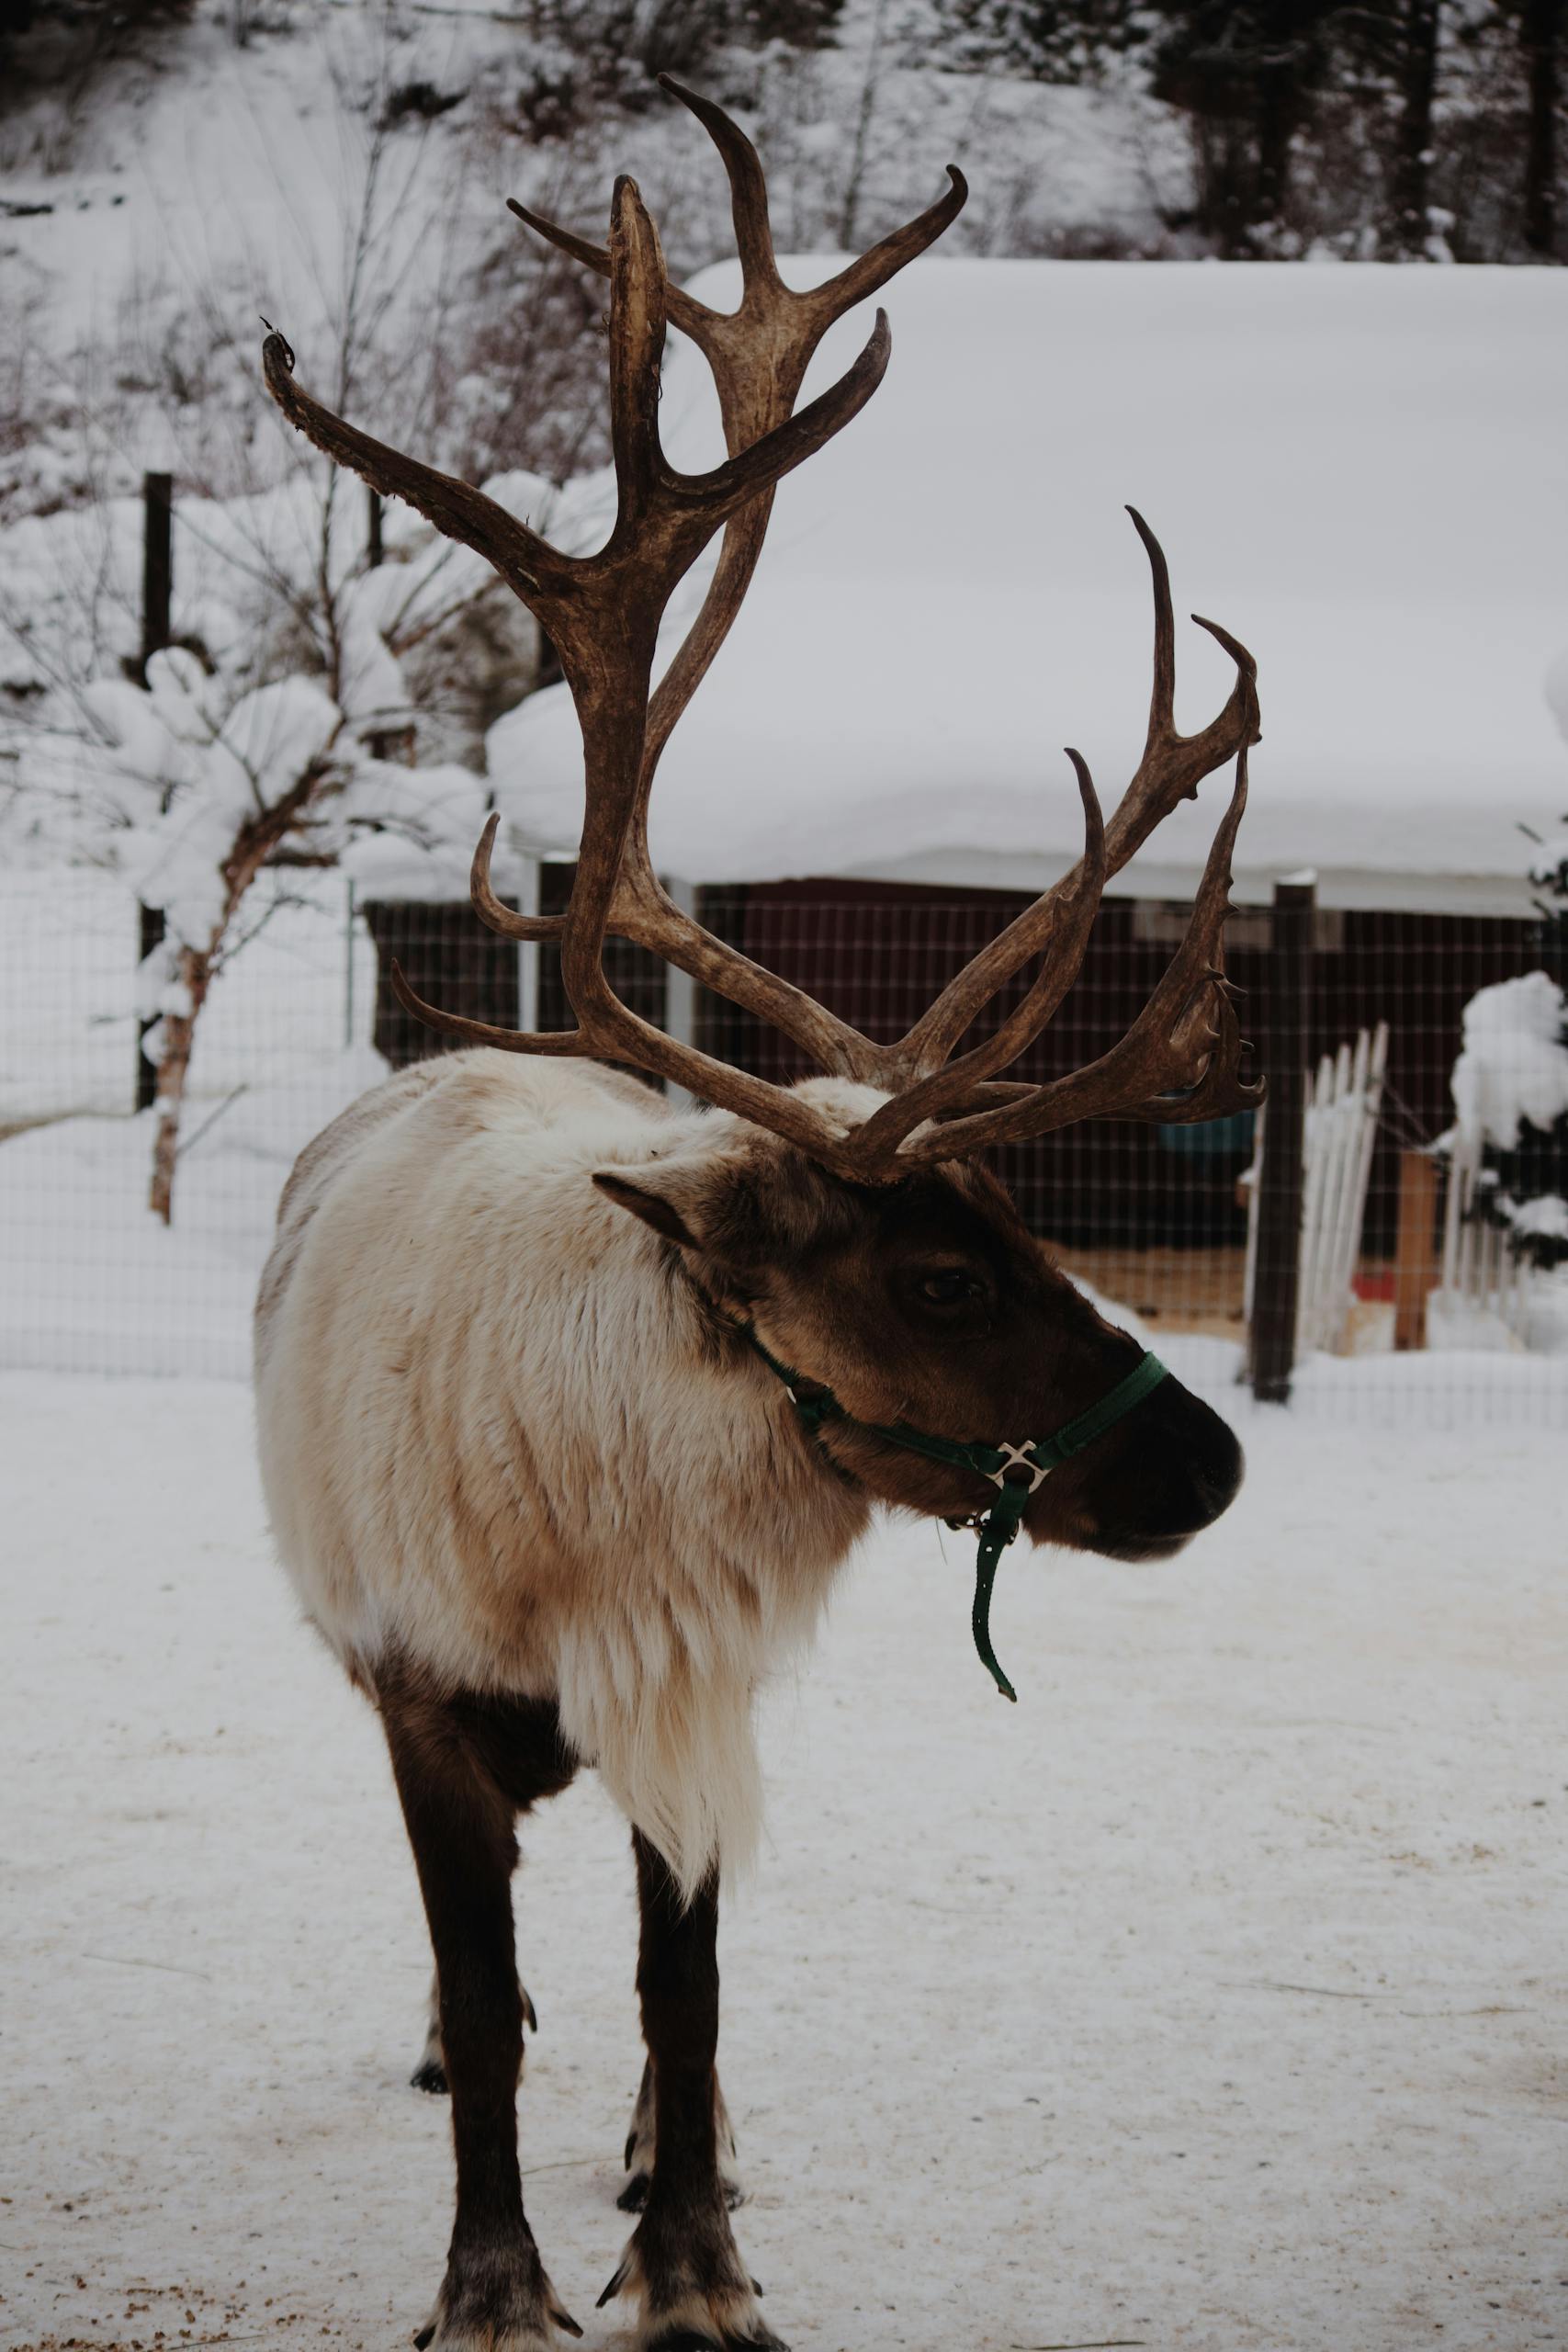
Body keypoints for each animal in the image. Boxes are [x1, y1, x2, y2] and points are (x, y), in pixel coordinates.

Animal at [253, 78, 1261, 2352]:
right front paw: (493, 2278)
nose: (1211, 1458)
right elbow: (485, 1987)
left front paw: (695, 2260)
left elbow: (687, 1986)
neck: (587, 1507)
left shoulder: (687, 1679)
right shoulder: (424, 1697)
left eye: (1023, 1219)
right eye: (937, 1266)